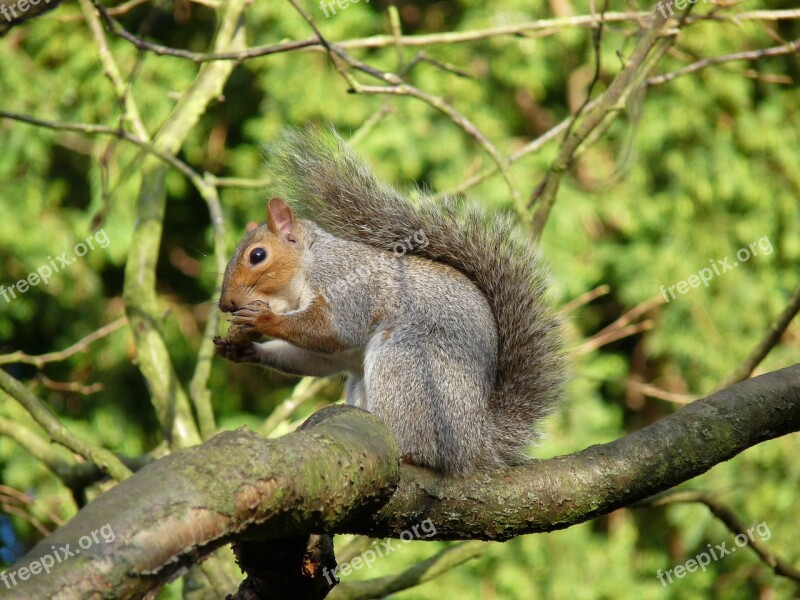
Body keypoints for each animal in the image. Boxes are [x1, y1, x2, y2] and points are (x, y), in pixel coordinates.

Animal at [212, 126, 564, 474]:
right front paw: (241, 348)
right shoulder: (335, 355)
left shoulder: (348, 287)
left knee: (422, 446)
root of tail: (473, 444)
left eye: (258, 255)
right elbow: (317, 359)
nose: (225, 304)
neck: (307, 268)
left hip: (403, 364)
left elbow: (333, 331)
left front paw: (262, 319)